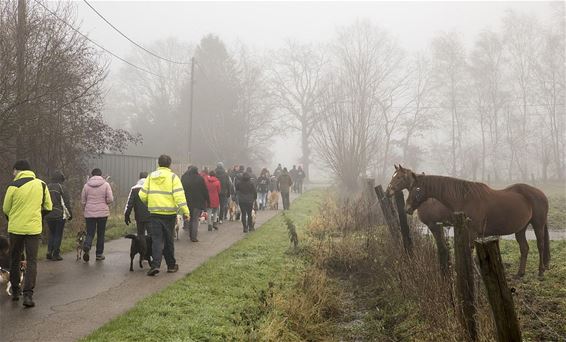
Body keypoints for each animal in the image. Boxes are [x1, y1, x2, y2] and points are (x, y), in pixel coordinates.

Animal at [406, 170, 552, 276]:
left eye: (417, 188)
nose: (407, 208)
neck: (464, 199)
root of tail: (541, 193)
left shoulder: (472, 233)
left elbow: (470, 254)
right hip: (520, 229)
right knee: (524, 248)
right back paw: (520, 273)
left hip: (538, 225)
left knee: (540, 245)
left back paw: (541, 271)